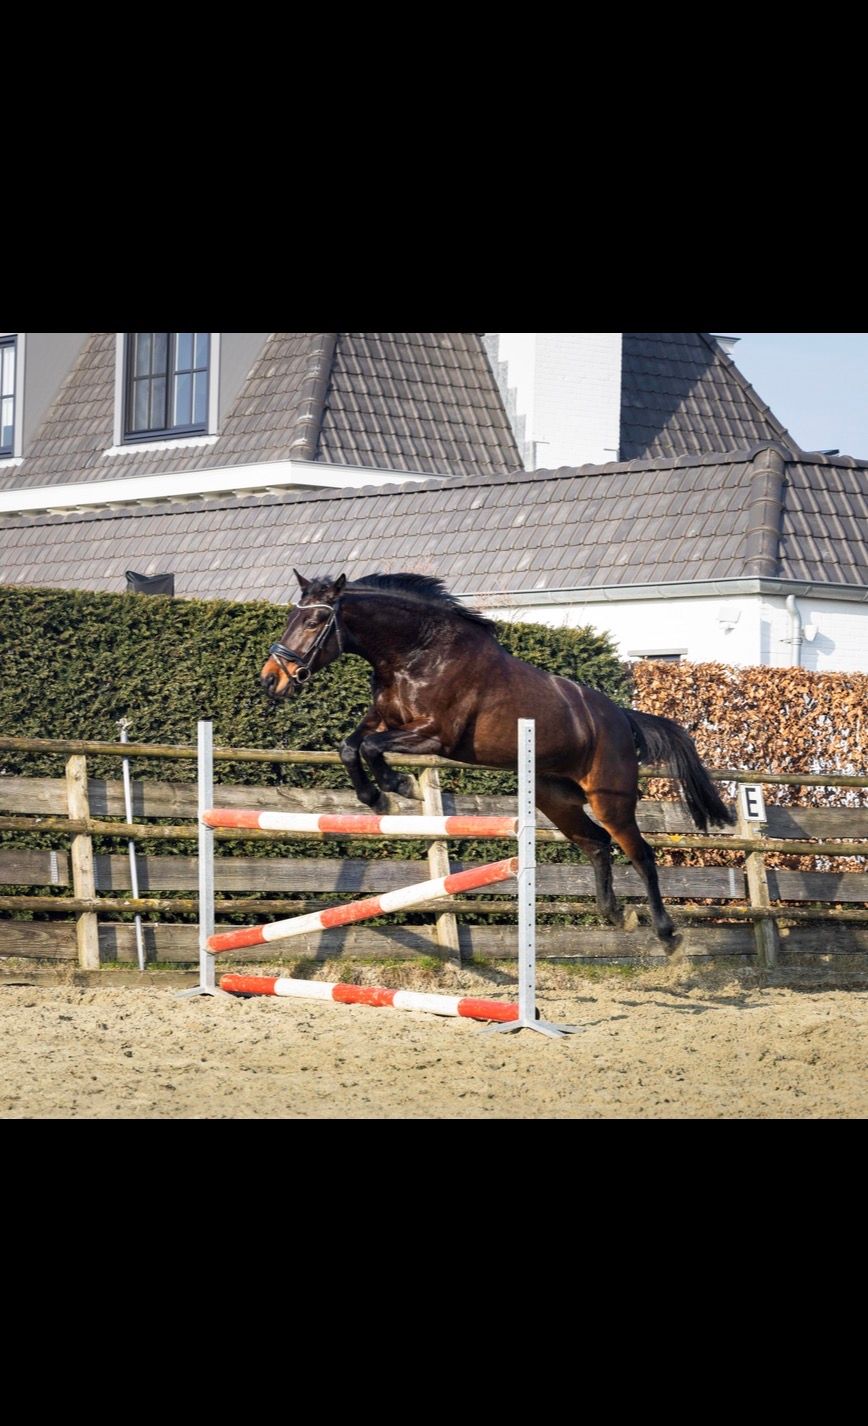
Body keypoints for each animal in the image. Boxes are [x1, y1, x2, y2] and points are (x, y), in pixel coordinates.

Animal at [260, 571, 734, 944]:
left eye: (315, 620)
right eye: (289, 618)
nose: (270, 680)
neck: (416, 654)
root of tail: (621, 715)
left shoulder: (435, 737)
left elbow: (372, 749)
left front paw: (398, 788)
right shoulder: (382, 720)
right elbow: (350, 746)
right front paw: (375, 798)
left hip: (609, 799)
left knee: (640, 853)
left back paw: (667, 935)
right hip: (556, 798)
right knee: (597, 844)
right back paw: (617, 915)